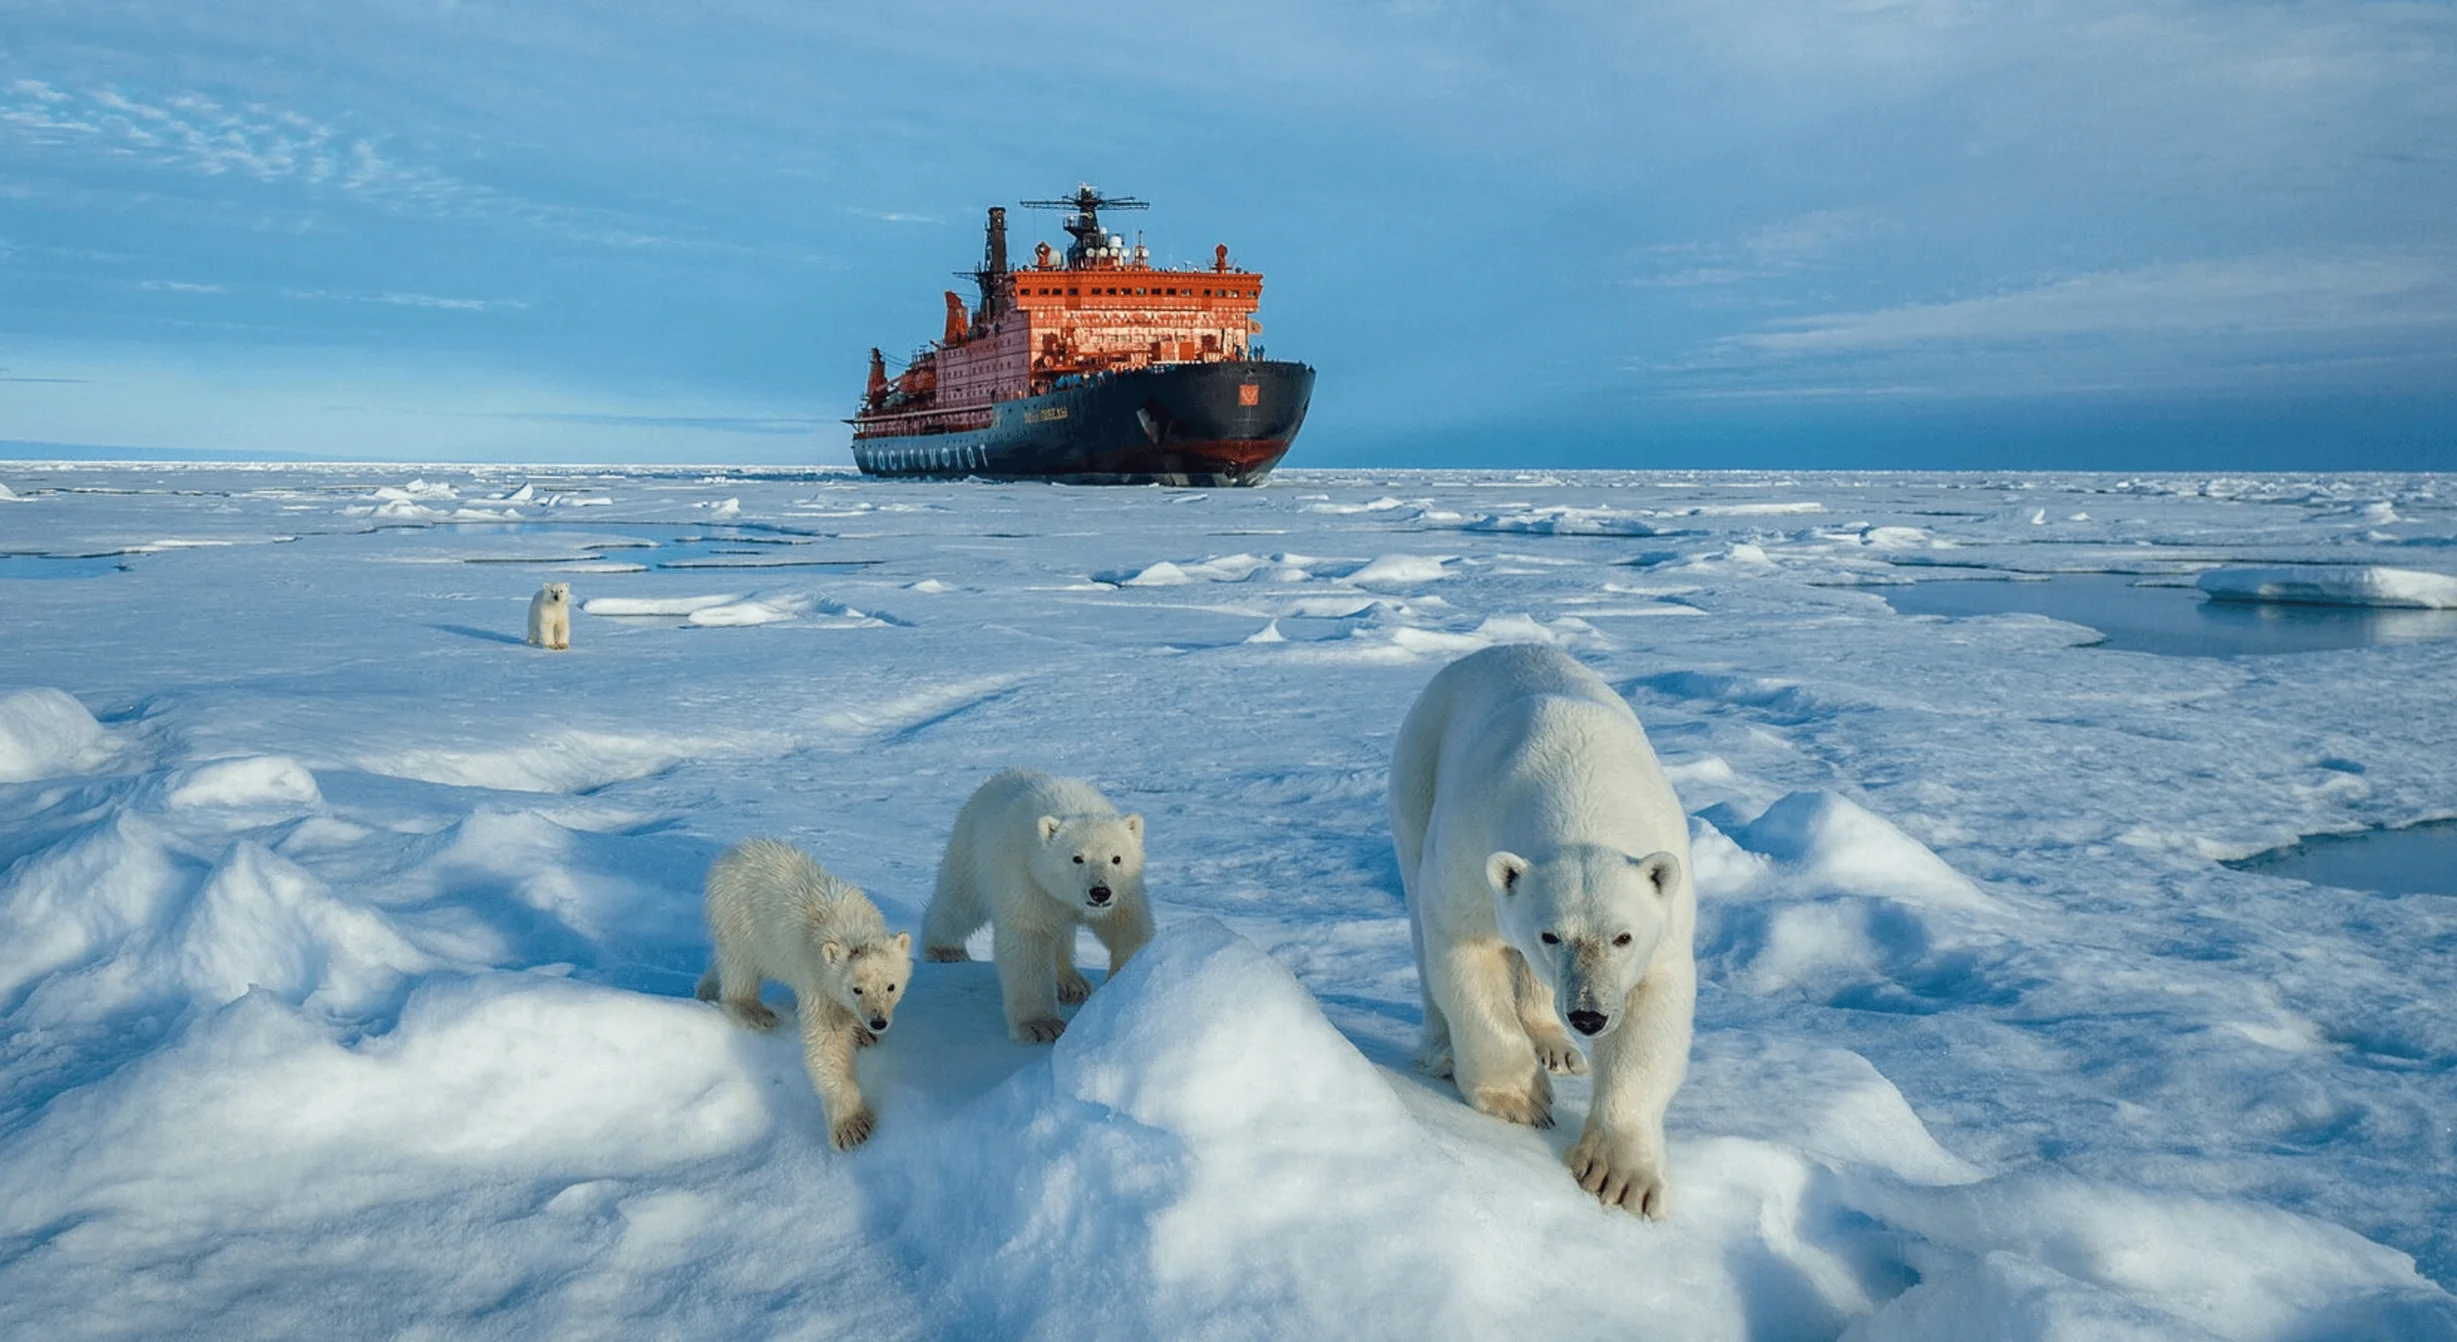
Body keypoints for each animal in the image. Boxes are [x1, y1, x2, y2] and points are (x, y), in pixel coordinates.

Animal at [697, 830, 918, 1145]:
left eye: (890, 986)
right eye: (857, 989)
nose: (877, 1022)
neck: (850, 925)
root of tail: (732, 853)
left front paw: (863, 1034)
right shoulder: (818, 977)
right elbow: (828, 1042)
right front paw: (853, 1126)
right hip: (738, 919)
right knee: (740, 968)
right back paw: (754, 1011)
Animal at [923, 766, 1149, 1037]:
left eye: (1117, 858)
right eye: (1077, 858)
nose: (1099, 892)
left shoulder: (1123, 891)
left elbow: (1128, 927)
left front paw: (1121, 986)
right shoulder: (1027, 877)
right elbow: (1027, 939)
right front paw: (1041, 1026)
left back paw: (1071, 983)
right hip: (971, 850)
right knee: (960, 904)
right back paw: (944, 949)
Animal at [1395, 639, 1700, 1209]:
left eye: (1623, 936)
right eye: (1550, 935)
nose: (1589, 1016)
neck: (1578, 791)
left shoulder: (1667, 910)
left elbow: (1653, 1008)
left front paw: (1619, 1176)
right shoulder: (1471, 843)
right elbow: (1463, 951)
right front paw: (1520, 1100)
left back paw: (1555, 1045)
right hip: (1417, 775)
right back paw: (1445, 1051)